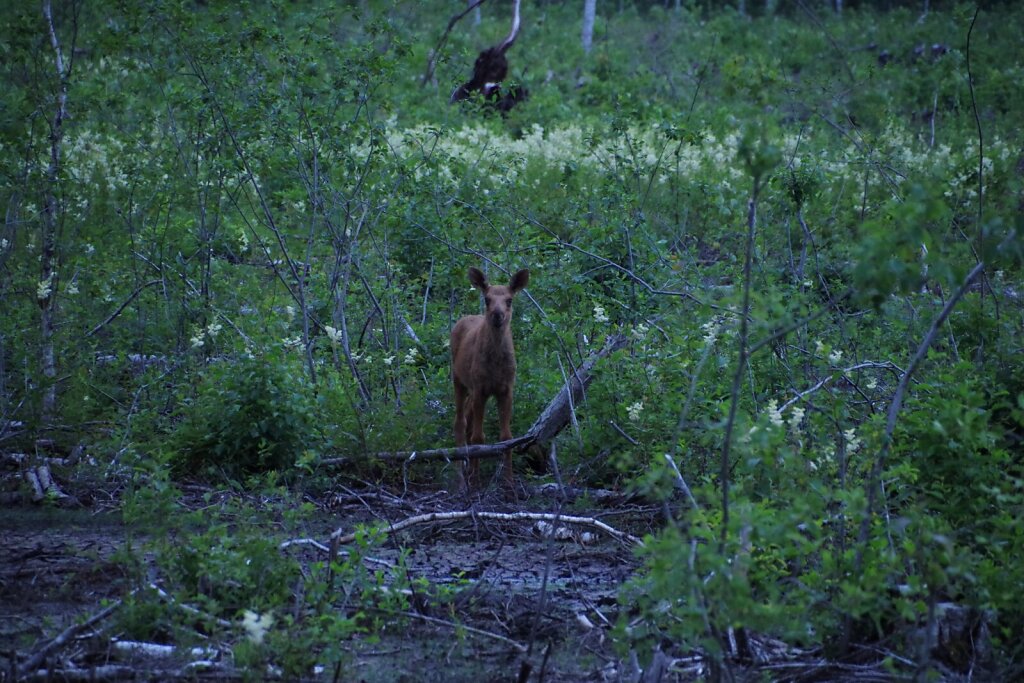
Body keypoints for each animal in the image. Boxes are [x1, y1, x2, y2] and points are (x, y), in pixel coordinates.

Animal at [452, 266, 532, 491]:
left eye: (509, 300)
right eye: (487, 299)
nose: (498, 315)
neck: (496, 366)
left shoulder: (506, 389)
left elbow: (507, 437)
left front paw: (509, 483)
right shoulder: (481, 388)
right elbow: (479, 437)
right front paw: (476, 481)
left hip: (472, 388)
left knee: (467, 418)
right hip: (458, 379)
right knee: (460, 422)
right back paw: (461, 478)